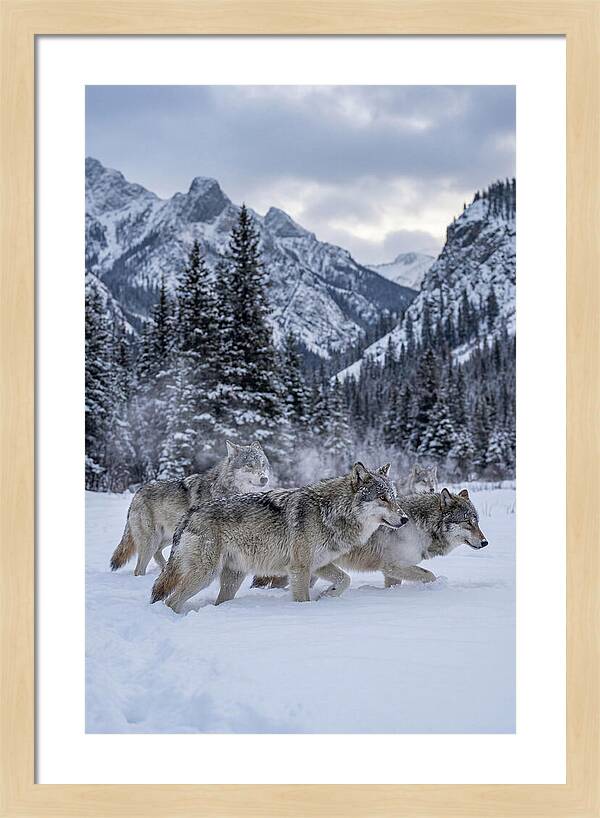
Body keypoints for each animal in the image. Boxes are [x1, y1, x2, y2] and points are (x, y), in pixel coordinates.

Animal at [110, 440, 271, 577]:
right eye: (249, 465)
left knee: (157, 553)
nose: (264, 479)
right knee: (139, 569)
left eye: (263, 464)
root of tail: (137, 493)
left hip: (169, 537)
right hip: (152, 541)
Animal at [150, 462, 408, 612]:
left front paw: (327, 595)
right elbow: (303, 599)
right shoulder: (300, 568)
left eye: (394, 497)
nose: (405, 518)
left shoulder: (319, 564)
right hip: (205, 575)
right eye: (382, 498)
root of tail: (190, 513)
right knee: (170, 601)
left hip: (233, 578)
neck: (330, 511)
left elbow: (345, 579)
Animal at [335, 488, 488, 587]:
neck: (419, 528)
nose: (485, 542)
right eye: (468, 522)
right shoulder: (393, 566)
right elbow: (429, 575)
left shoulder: (391, 572)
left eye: (477, 522)